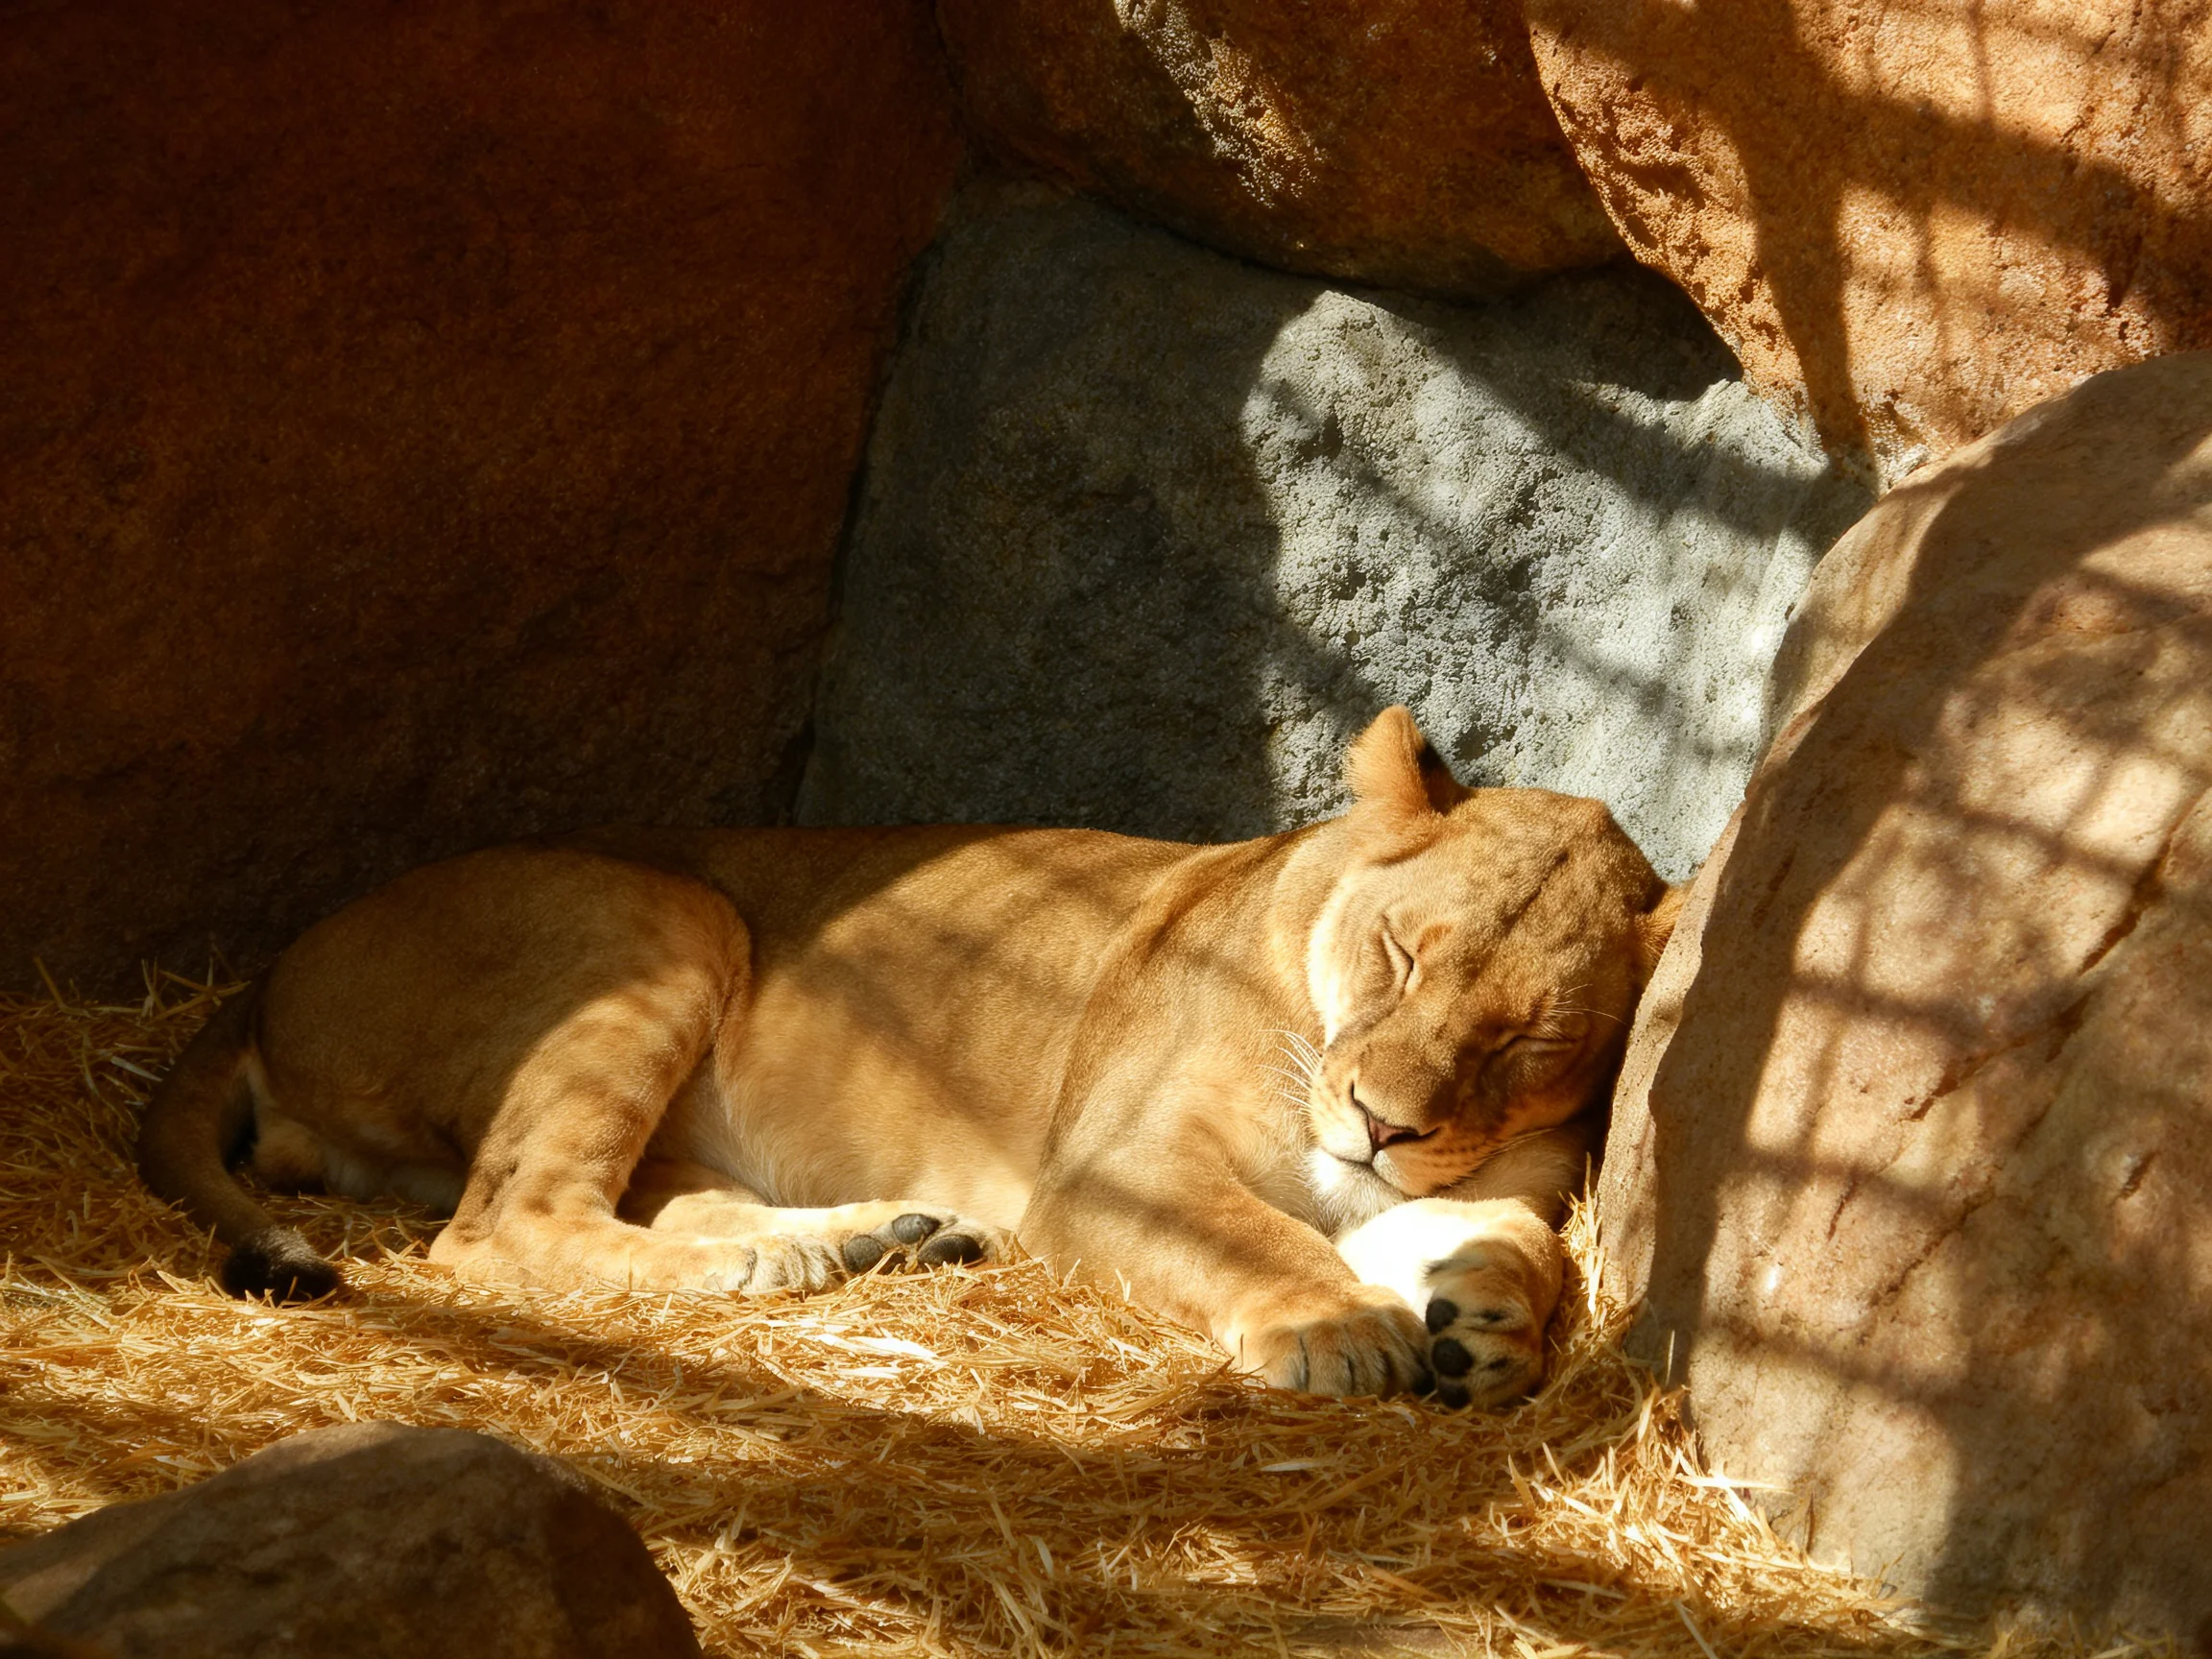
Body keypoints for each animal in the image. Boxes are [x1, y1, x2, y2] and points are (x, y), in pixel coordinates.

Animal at [139, 708, 1680, 1406]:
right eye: (1403, 955)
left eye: (1529, 1037)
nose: (1378, 1123)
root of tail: (266, 975)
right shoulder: (1117, 1172)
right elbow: (1257, 1238)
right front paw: (1342, 1329)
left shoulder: (1493, 1178)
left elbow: (1511, 1241)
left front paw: (1485, 1325)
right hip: (658, 913)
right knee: (501, 1224)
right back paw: (795, 1264)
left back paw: (877, 1239)